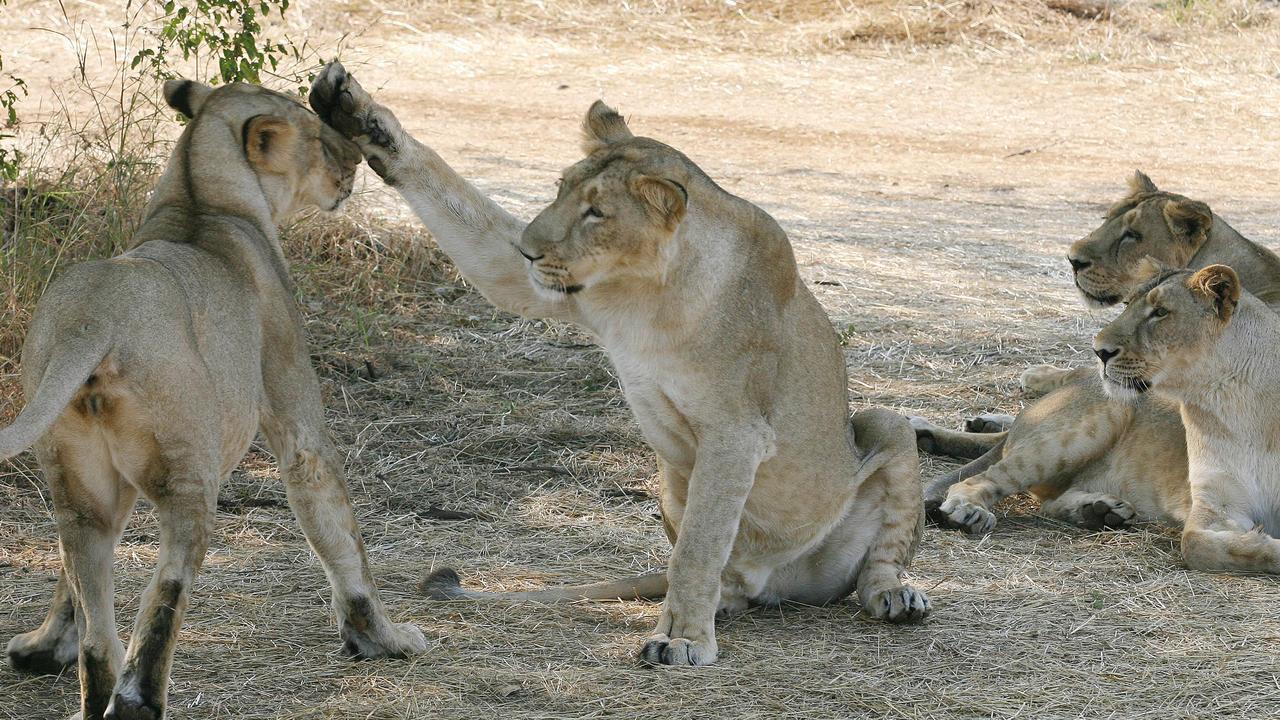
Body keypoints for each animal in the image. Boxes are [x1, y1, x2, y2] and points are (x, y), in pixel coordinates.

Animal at [0, 79, 430, 717]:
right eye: (318, 136)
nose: (354, 161)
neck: (200, 197)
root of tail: (92, 318)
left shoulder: (105, 491)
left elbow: (68, 584)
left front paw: (43, 646)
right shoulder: (294, 407)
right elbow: (338, 528)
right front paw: (382, 637)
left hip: (78, 485)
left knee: (97, 614)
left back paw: (96, 689)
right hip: (190, 474)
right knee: (167, 586)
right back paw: (137, 699)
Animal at [309, 63, 931, 666]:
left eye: (597, 213)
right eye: (560, 189)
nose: (529, 249)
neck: (648, 293)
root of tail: (775, 584)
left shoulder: (737, 430)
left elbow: (699, 546)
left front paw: (680, 639)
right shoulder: (546, 288)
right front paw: (360, 116)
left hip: (885, 426)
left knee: (878, 554)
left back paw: (895, 595)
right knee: (726, 576)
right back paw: (725, 603)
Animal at [1090, 263, 1280, 571]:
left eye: (1160, 312)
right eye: (1127, 305)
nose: (1098, 351)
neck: (1236, 405)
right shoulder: (1217, 501)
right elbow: (1195, 544)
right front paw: (1264, 543)